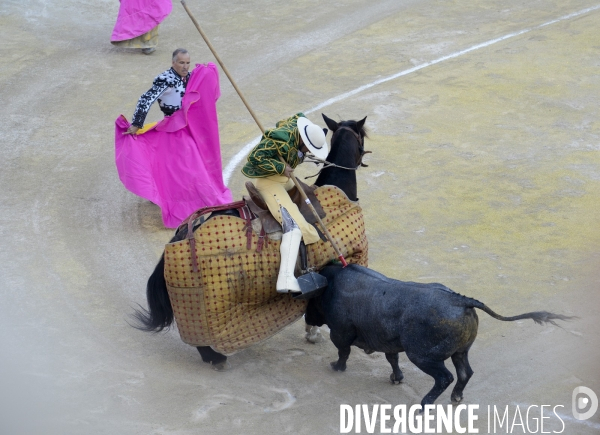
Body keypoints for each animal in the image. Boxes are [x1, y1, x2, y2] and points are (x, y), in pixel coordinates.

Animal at [308, 262, 576, 408]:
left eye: (311, 301)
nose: (309, 321)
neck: (332, 284)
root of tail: (461, 300)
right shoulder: (389, 341)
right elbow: (392, 358)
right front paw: (397, 378)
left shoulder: (340, 333)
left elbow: (343, 352)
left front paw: (336, 367)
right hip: (460, 350)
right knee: (465, 372)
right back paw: (456, 397)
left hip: (422, 356)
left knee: (444, 377)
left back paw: (423, 406)